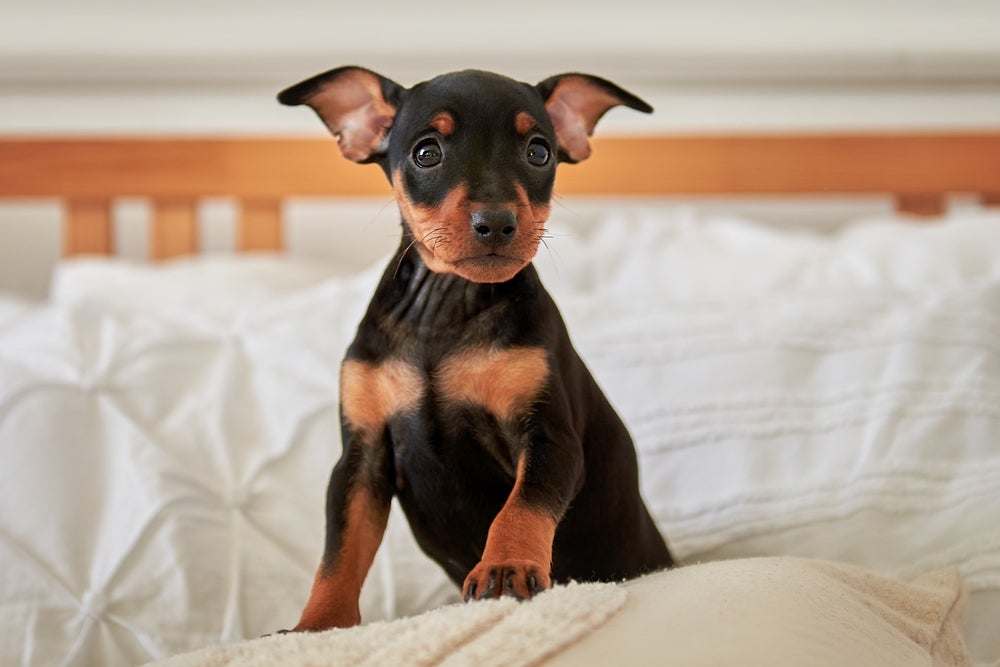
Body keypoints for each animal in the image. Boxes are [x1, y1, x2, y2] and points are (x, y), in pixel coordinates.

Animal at [278, 64, 676, 632]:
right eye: (426, 152)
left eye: (539, 152)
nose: (496, 222)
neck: (445, 308)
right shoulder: (361, 457)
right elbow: (340, 551)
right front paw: (317, 626)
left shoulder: (549, 438)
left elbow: (521, 506)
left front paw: (505, 569)